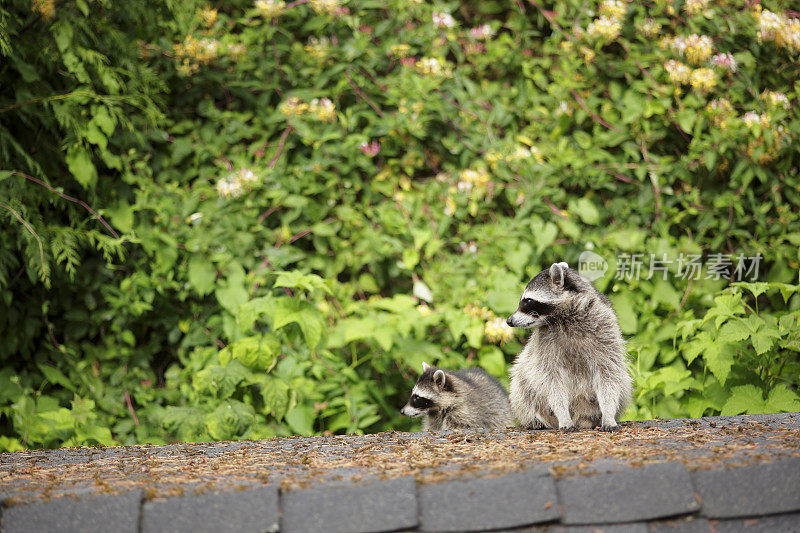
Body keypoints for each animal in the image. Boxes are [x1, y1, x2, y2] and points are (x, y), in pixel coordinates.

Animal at [506, 262, 632, 432]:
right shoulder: (544, 343)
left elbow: (609, 373)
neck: (565, 316)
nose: (509, 321)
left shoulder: (604, 328)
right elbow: (551, 379)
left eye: (528, 301)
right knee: (521, 386)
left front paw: (608, 412)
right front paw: (562, 414)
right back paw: (533, 418)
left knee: (622, 383)